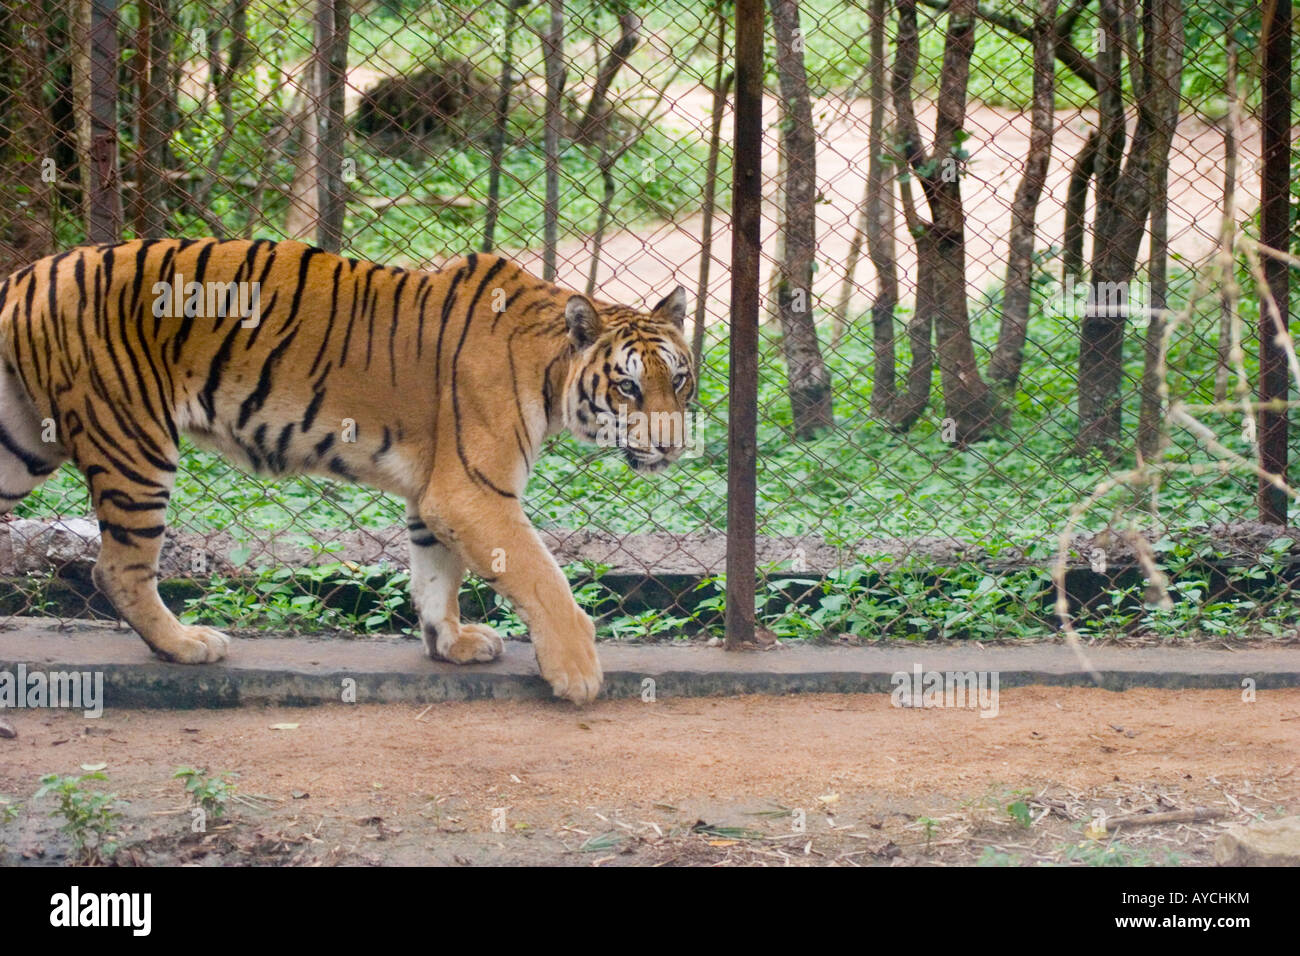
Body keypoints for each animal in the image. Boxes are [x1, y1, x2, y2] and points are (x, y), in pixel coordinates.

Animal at [0, 238, 696, 702]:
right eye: (629, 388)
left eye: (680, 380)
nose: (672, 448)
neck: (550, 374)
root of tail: (25, 275)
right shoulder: (474, 492)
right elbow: (543, 576)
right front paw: (577, 671)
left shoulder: (434, 495)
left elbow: (435, 575)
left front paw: (451, 645)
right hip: (134, 443)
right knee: (118, 568)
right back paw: (186, 645)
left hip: (21, 447)